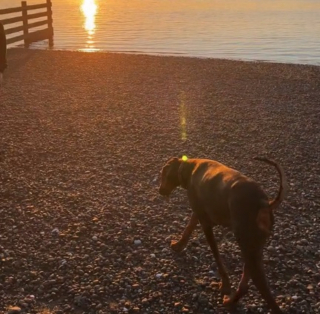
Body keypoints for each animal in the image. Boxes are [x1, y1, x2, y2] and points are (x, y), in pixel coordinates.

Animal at [159, 157, 288, 314]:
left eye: (163, 174)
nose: (160, 190)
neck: (190, 167)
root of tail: (264, 203)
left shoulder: (206, 224)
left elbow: (217, 257)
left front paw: (225, 284)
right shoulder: (198, 213)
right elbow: (188, 228)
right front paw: (179, 244)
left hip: (248, 246)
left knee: (264, 293)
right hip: (253, 248)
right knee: (245, 283)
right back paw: (232, 300)